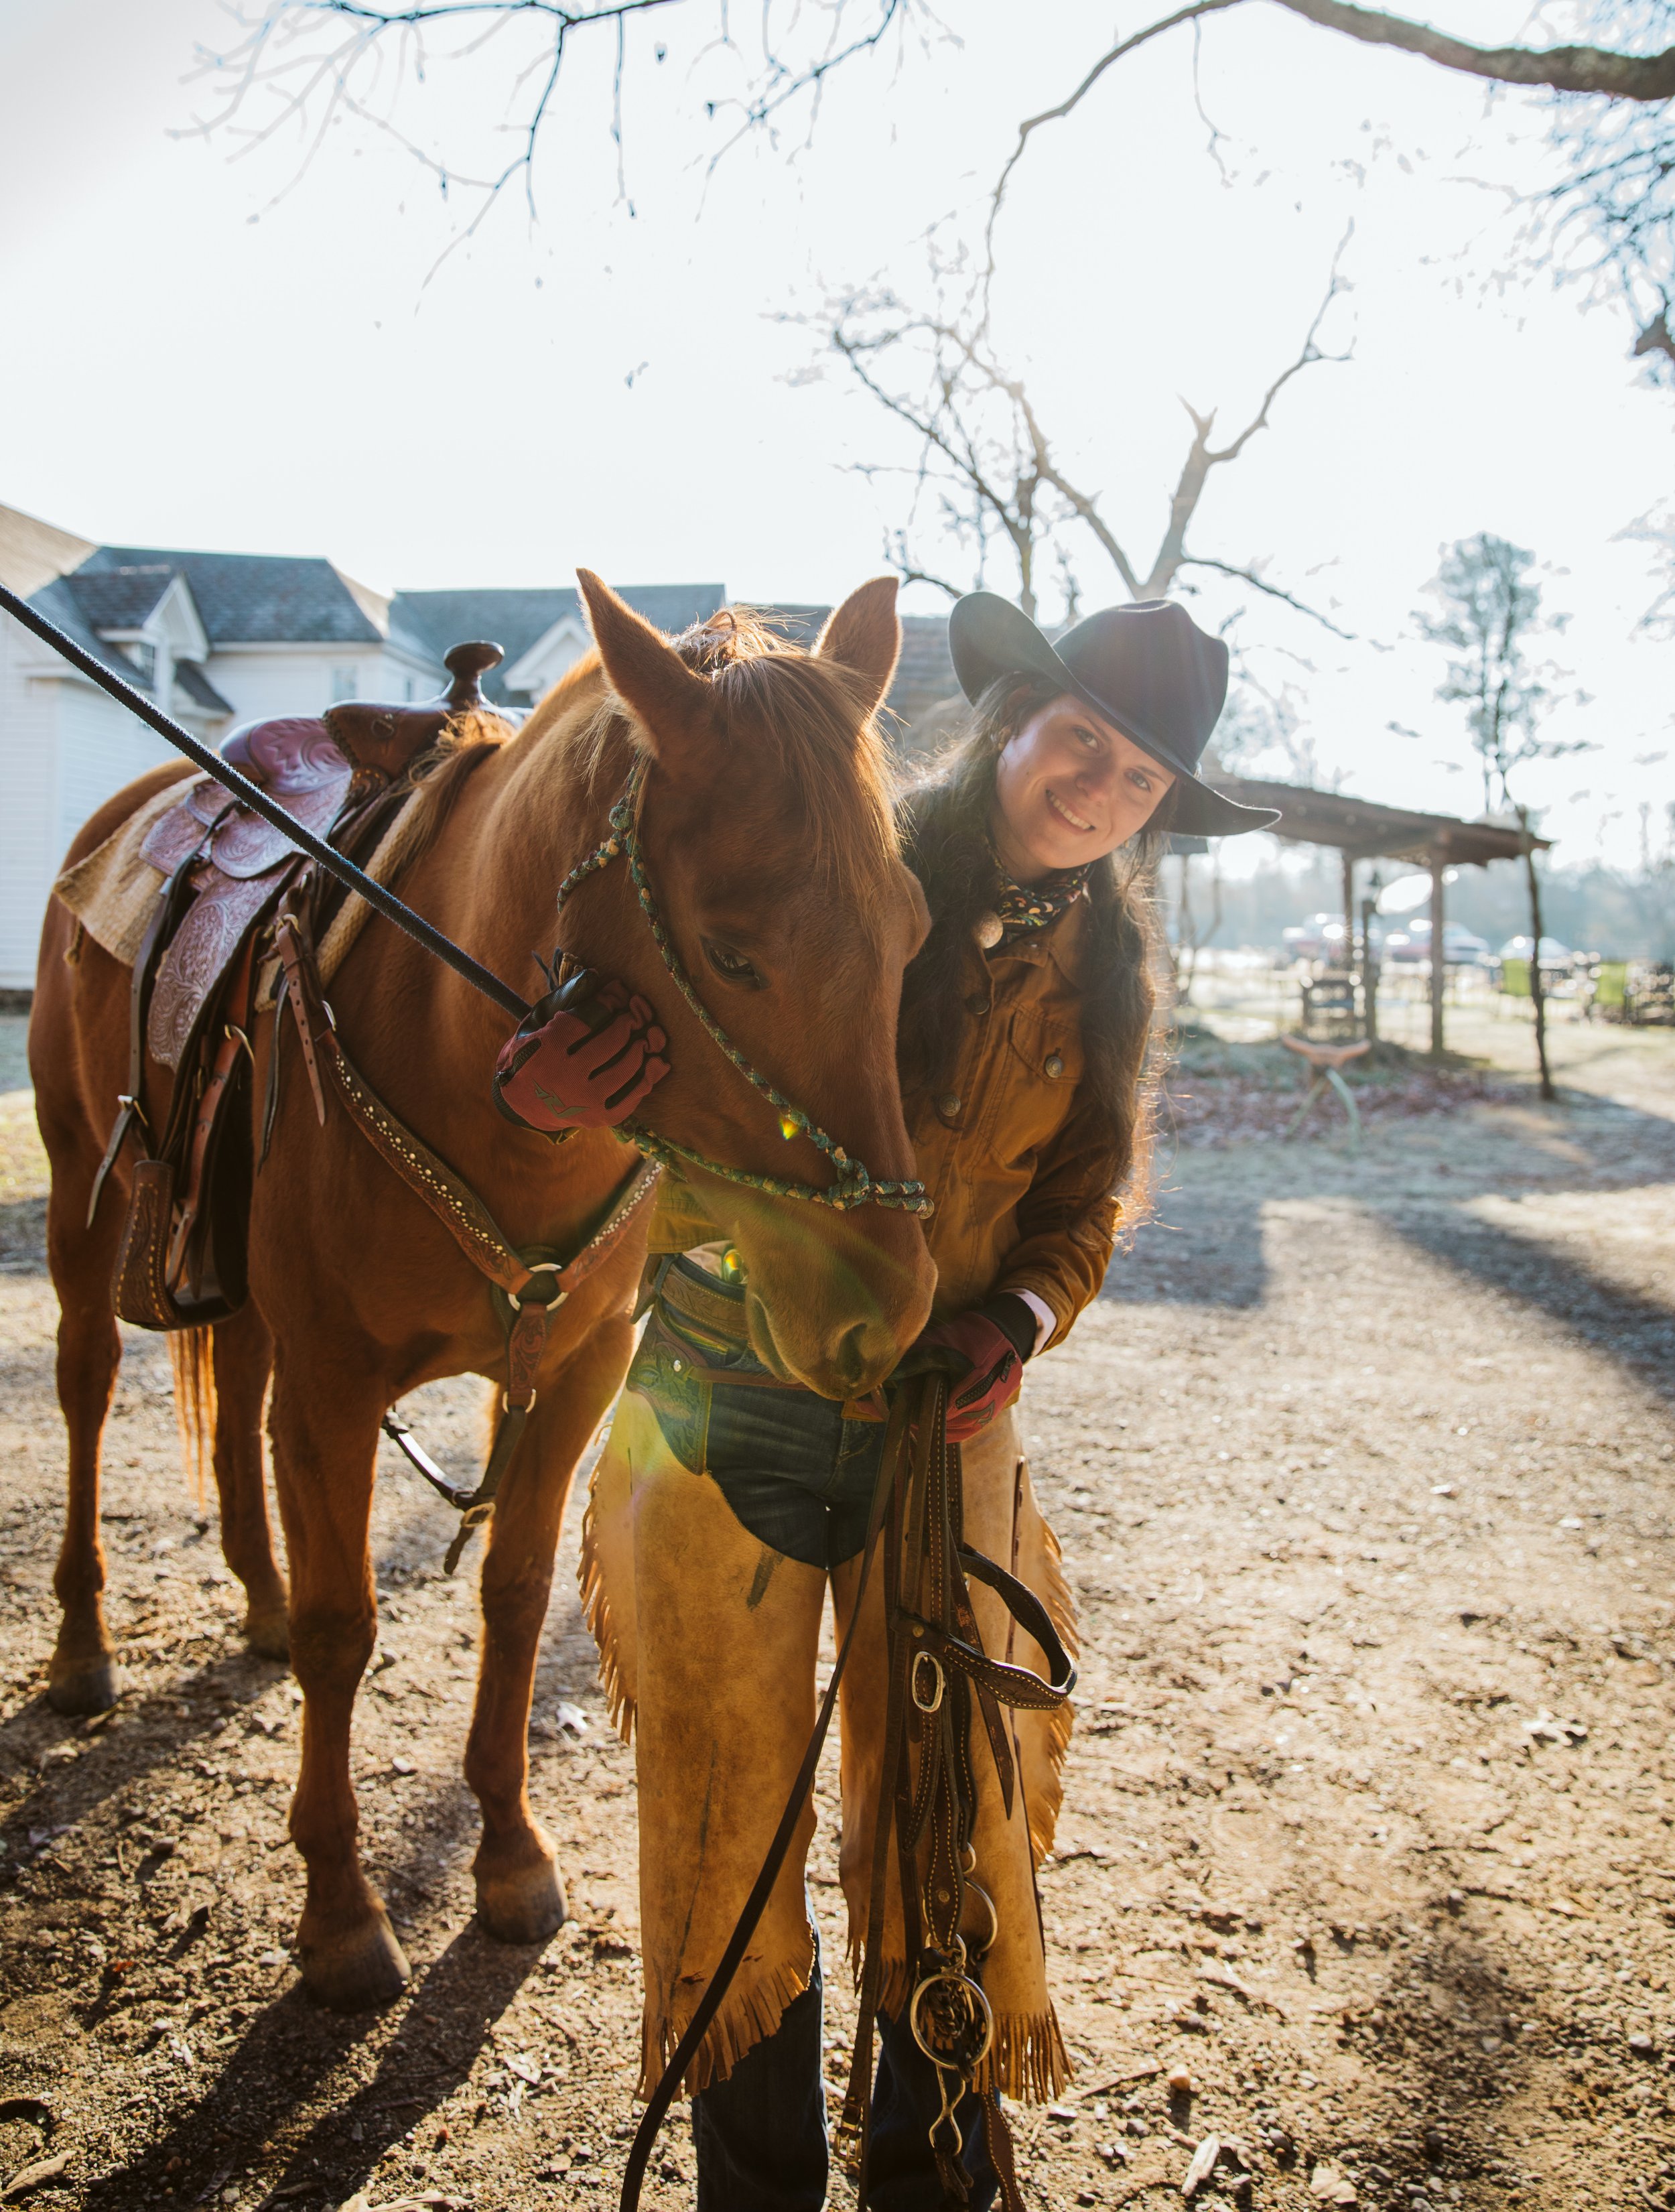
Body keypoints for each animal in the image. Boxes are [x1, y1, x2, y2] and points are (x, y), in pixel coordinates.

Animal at [28, 571, 935, 2011]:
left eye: (909, 933)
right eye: (733, 954)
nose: (885, 1303)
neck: (463, 1059)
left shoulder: (573, 1374)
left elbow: (512, 1595)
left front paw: (507, 1852)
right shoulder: (338, 1389)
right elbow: (348, 1626)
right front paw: (341, 1911)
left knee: (239, 1409)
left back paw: (256, 1595)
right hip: (80, 1188)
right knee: (84, 1387)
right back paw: (80, 1642)